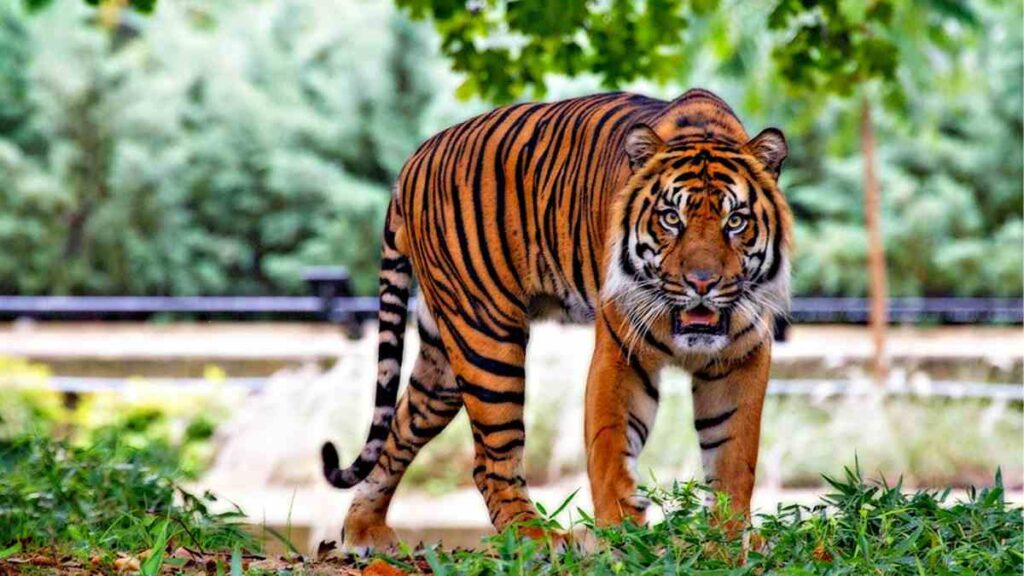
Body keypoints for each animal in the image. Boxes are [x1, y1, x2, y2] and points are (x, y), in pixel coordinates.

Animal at [321, 88, 792, 551]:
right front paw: (622, 538)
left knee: (400, 428)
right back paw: (536, 537)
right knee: (490, 459)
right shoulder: (621, 353)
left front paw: (726, 541)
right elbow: (610, 447)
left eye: (736, 221)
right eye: (671, 218)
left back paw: (363, 530)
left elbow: (733, 457)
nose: (702, 283)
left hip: (443, 360)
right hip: (486, 339)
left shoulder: (741, 358)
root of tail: (414, 158)